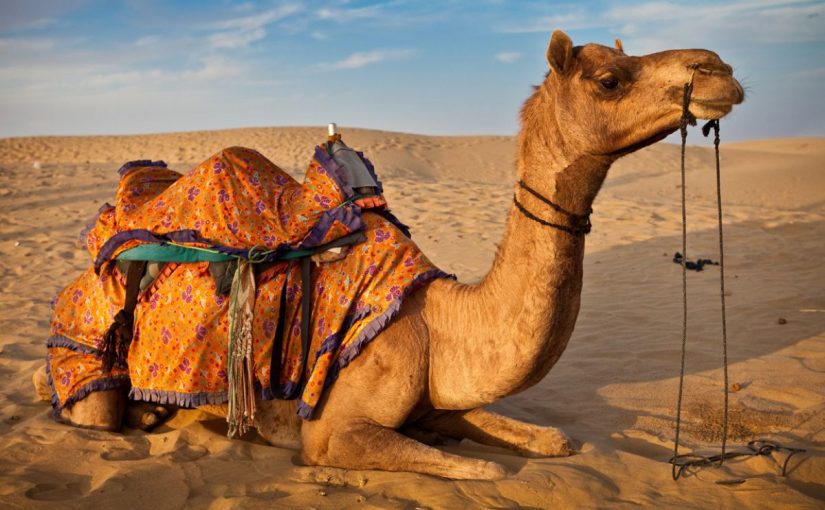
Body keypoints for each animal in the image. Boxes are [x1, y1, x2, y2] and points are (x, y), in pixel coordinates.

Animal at [33, 30, 744, 480]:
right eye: (609, 79)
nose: (721, 69)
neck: (439, 325)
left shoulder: (441, 397)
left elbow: (552, 437)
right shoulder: (333, 431)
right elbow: (484, 470)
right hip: (88, 353)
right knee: (85, 404)